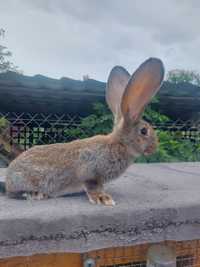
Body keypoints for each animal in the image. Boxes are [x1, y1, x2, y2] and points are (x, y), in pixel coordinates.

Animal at [5, 57, 164, 206]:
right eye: (144, 131)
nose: (154, 148)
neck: (119, 144)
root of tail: (8, 179)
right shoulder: (91, 172)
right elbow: (92, 186)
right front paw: (103, 199)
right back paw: (36, 194)